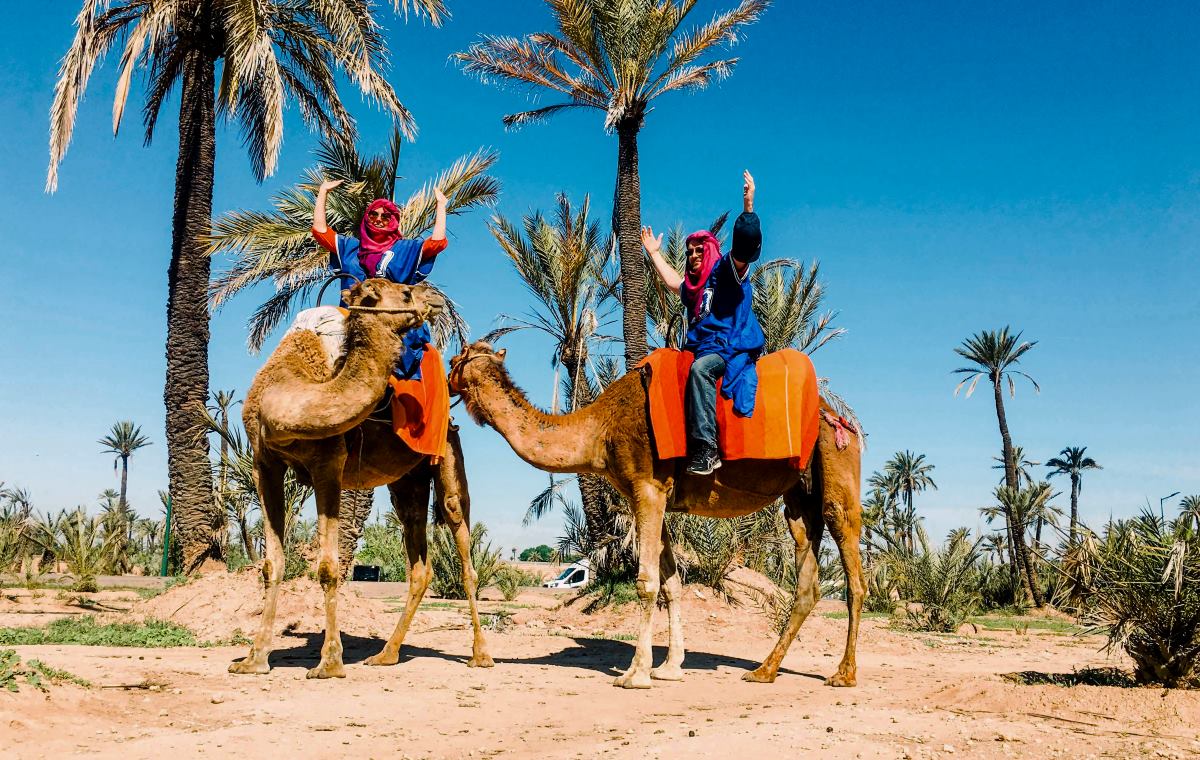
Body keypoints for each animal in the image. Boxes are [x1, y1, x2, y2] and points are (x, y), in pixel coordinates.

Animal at [229, 277, 492, 677]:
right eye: (404, 293)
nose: (434, 296)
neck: (290, 387)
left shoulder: (328, 462)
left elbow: (327, 567)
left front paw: (329, 663)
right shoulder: (265, 464)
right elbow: (272, 563)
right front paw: (253, 659)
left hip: (447, 454)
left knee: (461, 542)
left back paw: (481, 655)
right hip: (408, 480)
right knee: (418, 561)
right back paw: (386, 654)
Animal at [451, 343, 864, 686]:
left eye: (457, 359)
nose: (447, 380)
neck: (600, 430)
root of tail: (842, 419)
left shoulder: (647, 486)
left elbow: (646, 581)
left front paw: (635, 674)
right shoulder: (657, 494)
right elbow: (672, 583)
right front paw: (669, 667)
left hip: (837, 462)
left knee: (852, 564)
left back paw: (843, 674)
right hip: (799, 497)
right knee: (807, 578)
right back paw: (764, 670)